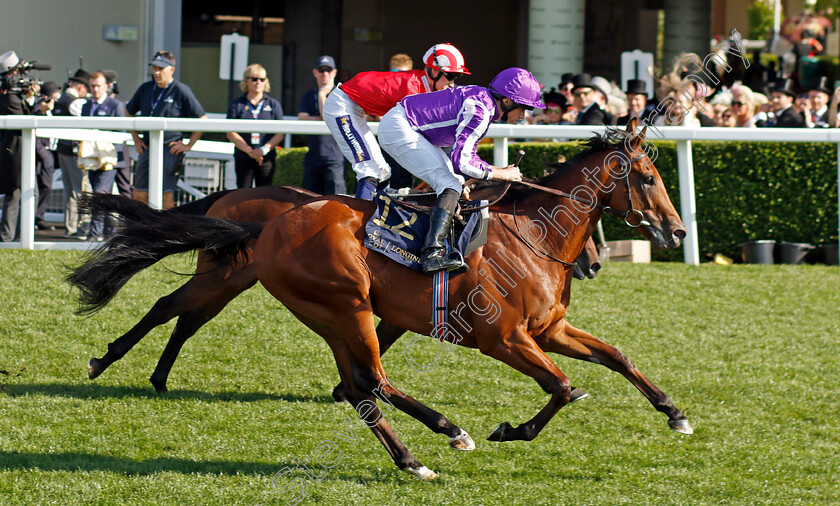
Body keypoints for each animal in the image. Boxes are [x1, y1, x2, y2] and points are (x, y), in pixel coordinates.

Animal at [72, 185, 596, 392]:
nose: (591, 264)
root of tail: (230, 196)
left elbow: (377, 342)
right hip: (223, 276)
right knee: (169, 307)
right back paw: (106, 361)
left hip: (227, 279)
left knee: (187, 316)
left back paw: (156, 375)